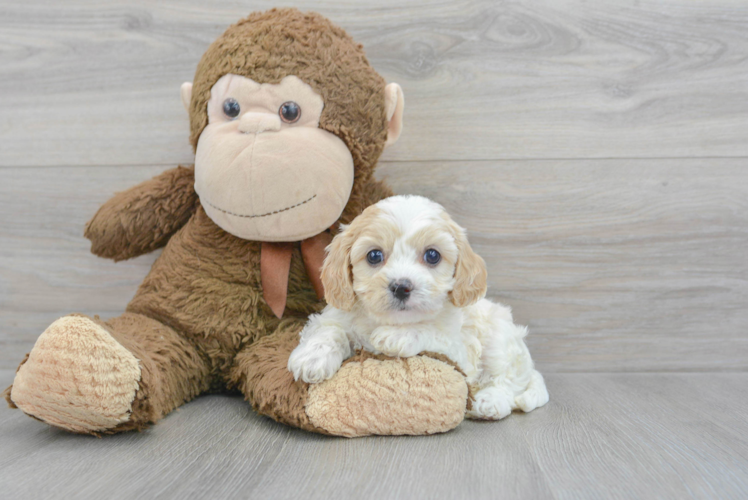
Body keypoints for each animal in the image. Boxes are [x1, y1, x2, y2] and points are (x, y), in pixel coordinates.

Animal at [286, 194, 548, 418]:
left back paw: (489, 401)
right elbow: (329, 329)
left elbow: (432, 332)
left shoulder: (458, 350)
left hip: (500, 338)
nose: (401, 286)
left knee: (507, 381)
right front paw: (313, 358)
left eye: (432, 255)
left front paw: (395, 336)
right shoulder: (336, 315)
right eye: (374, 256)